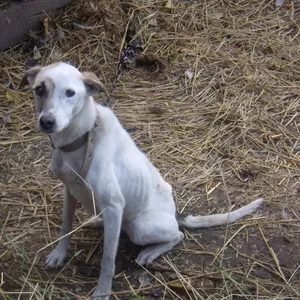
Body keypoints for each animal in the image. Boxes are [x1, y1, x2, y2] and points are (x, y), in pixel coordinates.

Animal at [24, 62, 262, 298]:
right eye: (39, 89)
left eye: (70, 93)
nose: (47, 122)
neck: (81, 139)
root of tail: (175, 214)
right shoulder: (69, 190)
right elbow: (65, 227)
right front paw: (59, 254)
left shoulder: (114, 205)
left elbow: (108, 260)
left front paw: (103, 291)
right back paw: (96, 221)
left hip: (140, 227)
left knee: (177, 235)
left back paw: (151, 251)